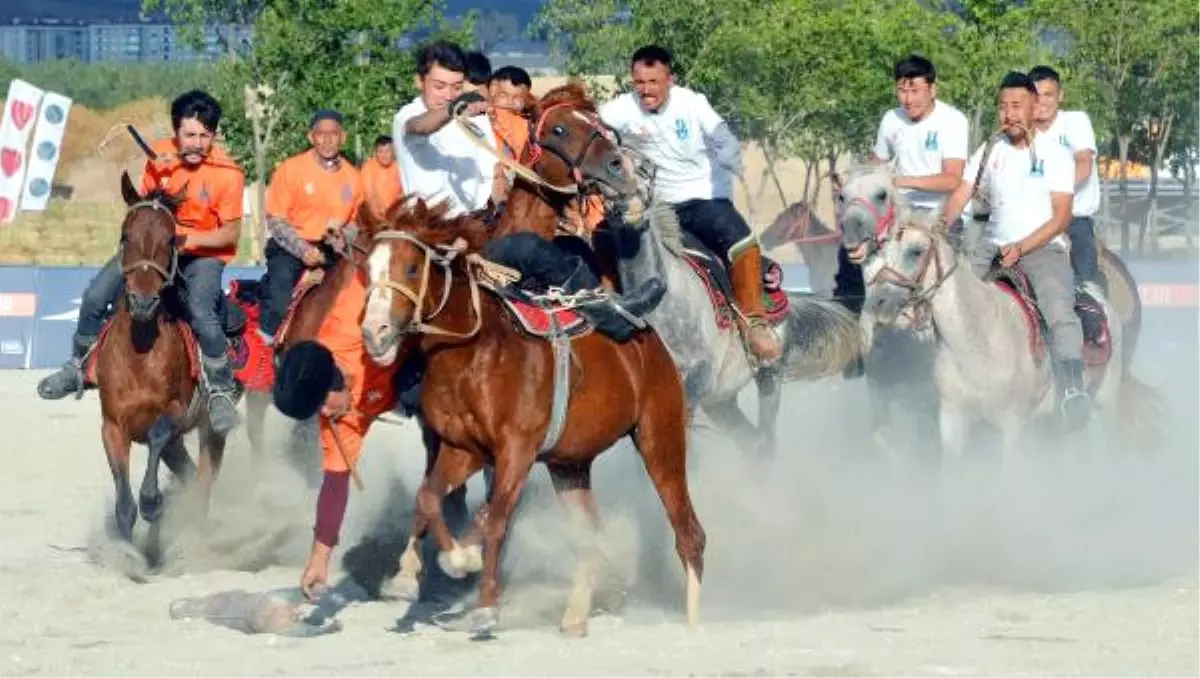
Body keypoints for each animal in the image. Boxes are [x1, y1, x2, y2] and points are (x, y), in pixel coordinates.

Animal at [96, 171, 234, 547]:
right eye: (126, 235)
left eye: (170, 239)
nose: (143, 302)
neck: (139, 354)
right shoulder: (112, 426)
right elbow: (124, 505)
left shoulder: (175, 414)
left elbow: (157, 434)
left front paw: (152, 502)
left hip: (210, 429)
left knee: (203, 480)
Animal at [360, 195, 705, 633]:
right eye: (366, 268)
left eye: (411, 267)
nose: (375, 331)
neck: (473, 353)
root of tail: (651, 341)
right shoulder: (463, 449)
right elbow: (429, 498)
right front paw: (430, 568)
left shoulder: (516, 450)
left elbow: (496, 520)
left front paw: (486, 603)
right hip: (569, 466)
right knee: (589, 534)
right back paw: (575, 615)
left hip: (660, 439)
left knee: (688, 531)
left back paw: (692, 619)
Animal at [859, 211, 1156, 465]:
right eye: (879, 256)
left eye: (916, 251)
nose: (877, 304)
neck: (978, 337)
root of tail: (1098, 296)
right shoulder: (953, 419)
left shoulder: (1012, 427)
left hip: (1106, 401)